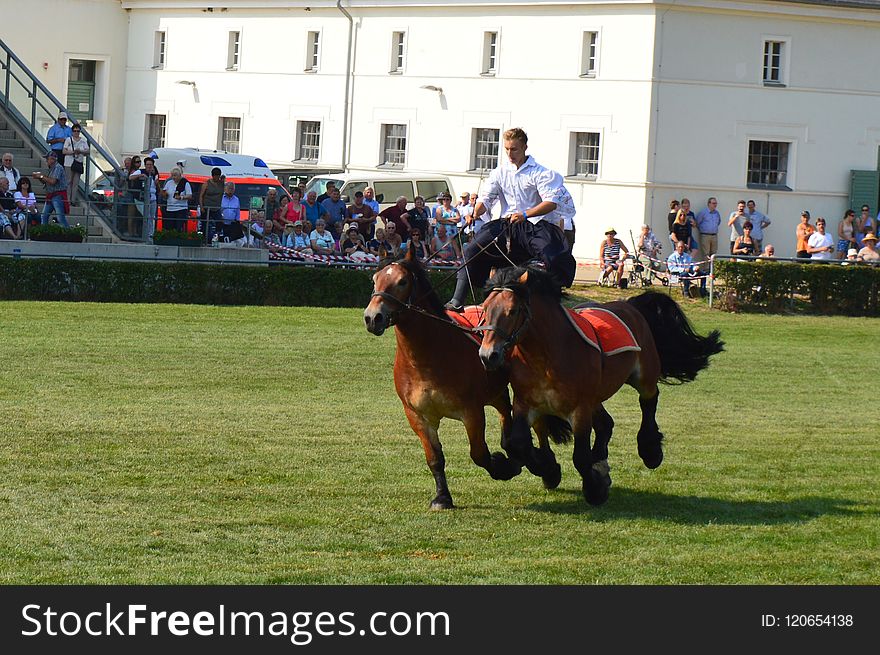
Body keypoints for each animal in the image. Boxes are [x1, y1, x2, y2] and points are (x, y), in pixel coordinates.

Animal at [478, 266, 724, 508]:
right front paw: (546, 469)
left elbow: (580, 457)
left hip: (643, 377)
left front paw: (595, 489)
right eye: (485, 308)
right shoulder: (525, 403)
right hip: (595, 398)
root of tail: (629, 304)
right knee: (606, 424)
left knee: (649, 400)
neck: (546, 357)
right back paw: (600, 460)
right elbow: (517, 443)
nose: (488, 355)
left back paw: (650, 451)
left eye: (512, 311)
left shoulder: (580, 409)